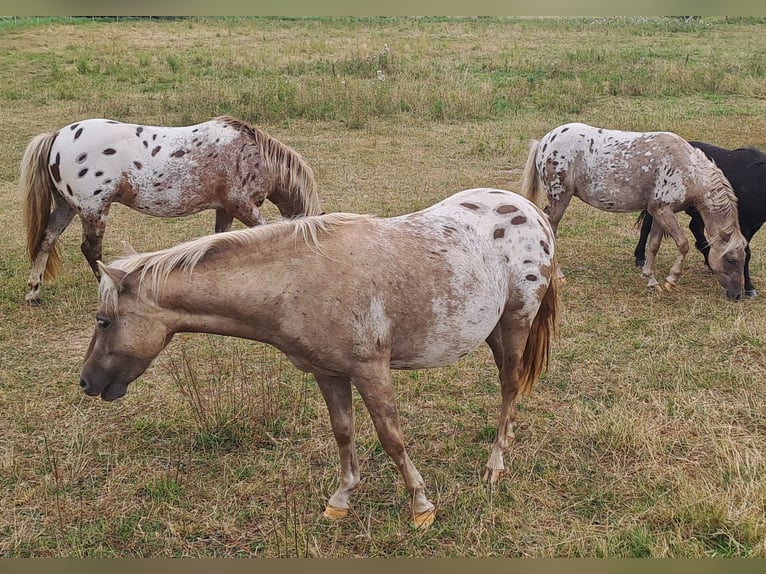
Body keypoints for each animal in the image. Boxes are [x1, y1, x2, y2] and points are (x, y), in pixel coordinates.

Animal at [20, 115, 322, 305]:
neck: (250, 155)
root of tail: (57, 137)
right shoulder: (243, 207)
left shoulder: (226, 209)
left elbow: (220, 241)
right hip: (94, 210)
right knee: (90, 250)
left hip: (66, 207)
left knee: (47, 240)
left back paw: (34, 292)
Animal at [78, 187, 560, 529]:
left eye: (104, 321)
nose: (86, 382)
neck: (299, 280)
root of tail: (531, 210)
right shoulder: (329, 373)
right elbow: (343, 433)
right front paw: (341, 500)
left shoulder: (371, 370)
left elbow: (391, 438)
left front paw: (421, 506)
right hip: (492, 330)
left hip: (515, 322)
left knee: (509, 385)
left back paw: (495, 464)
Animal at [519, 122, 747, 299]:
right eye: (730, 259)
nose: (738, 294)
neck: (687, 169)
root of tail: (544, 141)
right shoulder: (663, 211)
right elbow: (683, 244)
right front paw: (671, 279)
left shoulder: (659, 213)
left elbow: (653, 245)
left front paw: (651, 280)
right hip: (560, 198)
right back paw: (558, 275)